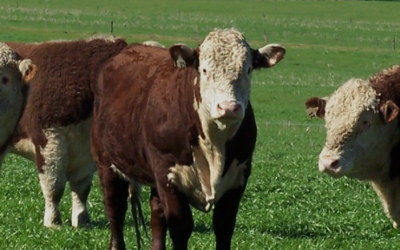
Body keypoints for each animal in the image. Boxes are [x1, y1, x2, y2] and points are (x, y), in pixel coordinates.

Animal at [1, 37, 126, 229]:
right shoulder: (50, 142)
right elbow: (54, 186)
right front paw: (53, 223)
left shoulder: (85, 154)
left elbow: (82, 189)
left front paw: (82, 221)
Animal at [90, 28, 284, 249]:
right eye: (204, 70)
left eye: (249, 69)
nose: (228, 108)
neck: (213, 146)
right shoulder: (167, 172)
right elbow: (181, 226)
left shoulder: (239, 175)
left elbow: (224, 225)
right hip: (106, 161)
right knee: (115, 208)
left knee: (157, 213)